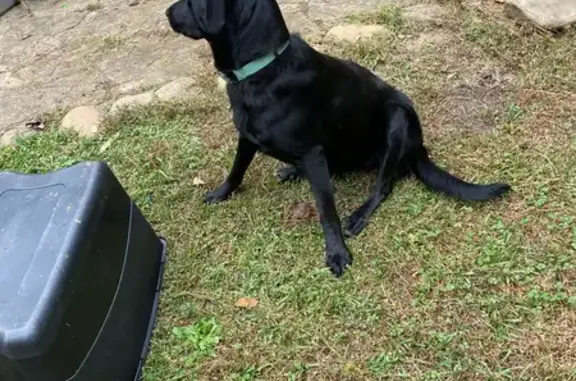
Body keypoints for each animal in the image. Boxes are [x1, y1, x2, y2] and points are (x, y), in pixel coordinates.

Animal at [165, 0, 508, 276]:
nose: (167, 12)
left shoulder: (313, 153)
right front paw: (221, 193)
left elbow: (327, 210)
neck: (264, 66)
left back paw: (358, 214)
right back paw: (293, 170)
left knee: (383, 187)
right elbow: (236, 171)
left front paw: (337, 253)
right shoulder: (246, 137)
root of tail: (420, 148)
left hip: (397, 120)